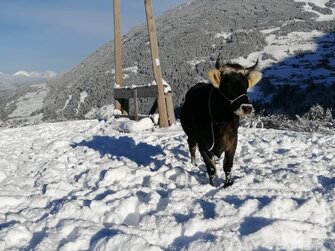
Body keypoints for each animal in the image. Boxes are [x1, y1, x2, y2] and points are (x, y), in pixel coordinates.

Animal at [181, 56, 262, 186]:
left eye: (246, 86)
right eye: (227, 85)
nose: (247, 108)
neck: (221, 121)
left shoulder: (233, 141)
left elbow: (228, 166)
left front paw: (227, 184)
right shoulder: (203, 145)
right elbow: (211, 168)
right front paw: (212, 186)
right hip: (192, 135)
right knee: (191, 145)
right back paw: (194, 164)